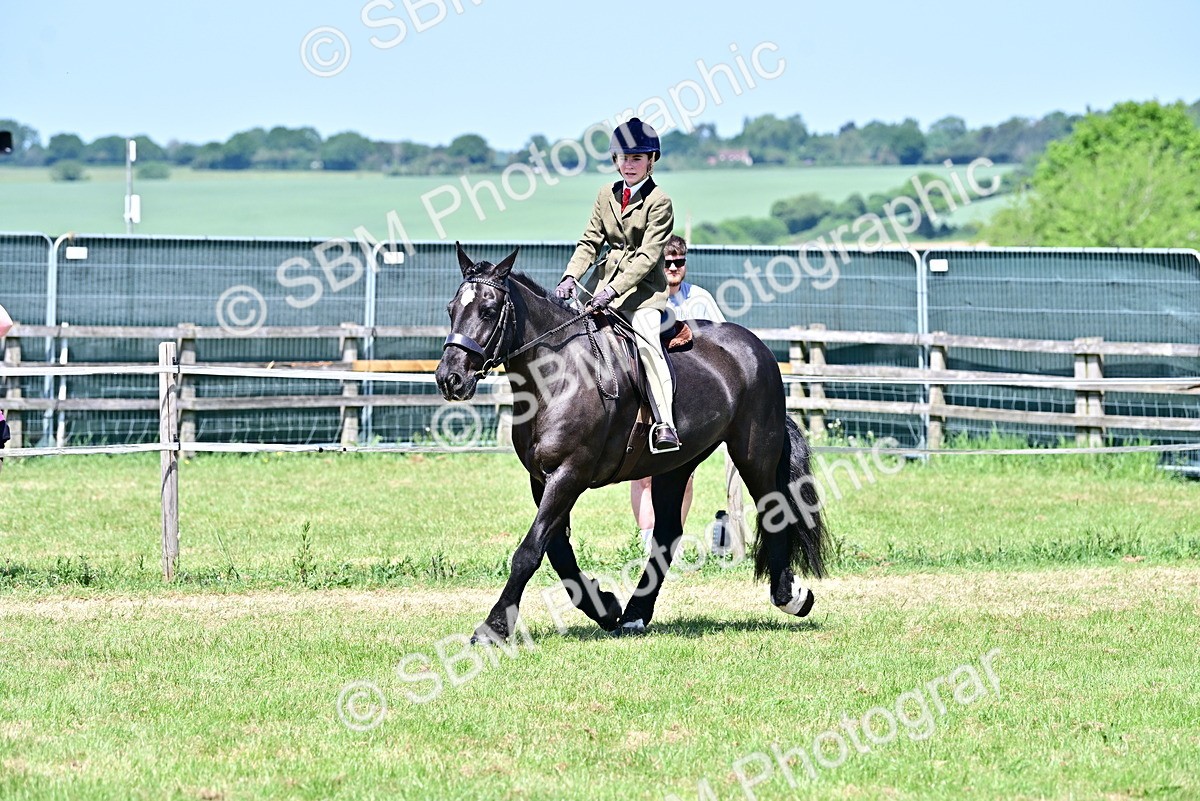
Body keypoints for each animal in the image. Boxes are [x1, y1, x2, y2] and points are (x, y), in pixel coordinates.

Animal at [435, 243, 827, 643]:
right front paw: (604, 607)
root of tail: (755, 347)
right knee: (667, 533)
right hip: (674, 466)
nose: (450, 378)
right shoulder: (542, 479)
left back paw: (790, 596)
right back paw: (635, 613)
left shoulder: (569, 474)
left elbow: (529, 551)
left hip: (753, 454)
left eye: (488, 310)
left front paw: (494, 627)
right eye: (452, 309)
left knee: (774, 510)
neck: (558, 373)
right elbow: (557, 550)